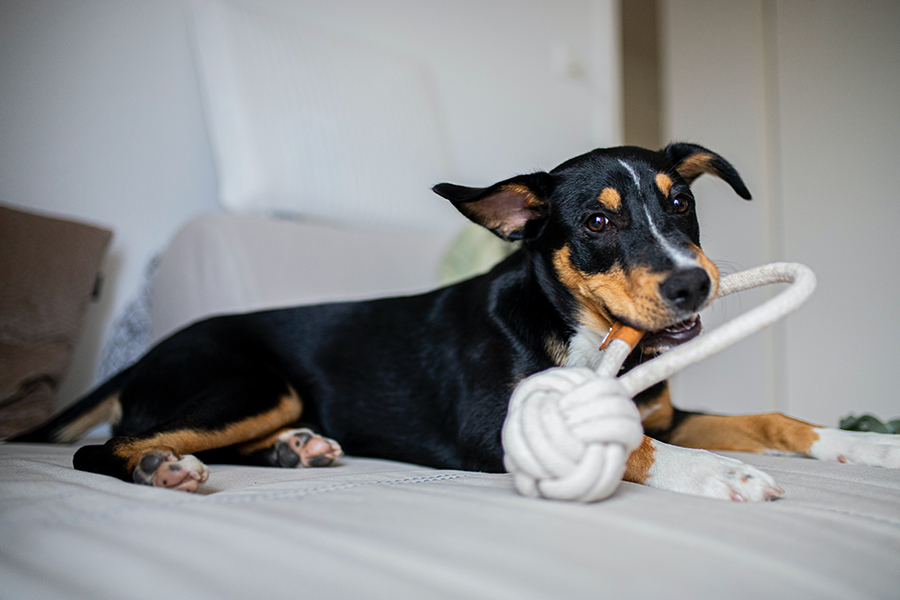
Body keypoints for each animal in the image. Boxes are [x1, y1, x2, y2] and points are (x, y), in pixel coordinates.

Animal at [12, 144, 900, 496]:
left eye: (680, 203)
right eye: (598, 222)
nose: (693, 285)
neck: (576, 329)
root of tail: (147, 354)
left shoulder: (667, 412)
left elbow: (773, 419)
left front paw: (866, 446)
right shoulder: (497, 429)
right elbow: (634, 448)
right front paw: (724, 477)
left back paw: (296, 451)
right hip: (248, 384)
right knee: (106, 447)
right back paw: (163, 468)